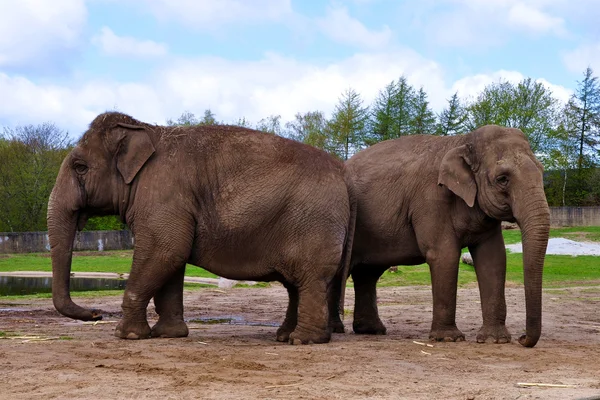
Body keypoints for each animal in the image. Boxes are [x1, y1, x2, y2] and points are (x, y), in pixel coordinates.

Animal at [49, 111, 356, 344]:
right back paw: (284, 336)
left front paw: (127, 335)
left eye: (80, 167)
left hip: (313, 224)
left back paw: (303, 340)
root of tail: (343, 173)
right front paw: (168, 335)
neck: (145, 128)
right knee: (296, 284)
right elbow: (171, 259)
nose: (96, 313)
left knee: (309, 279)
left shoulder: (164, 197)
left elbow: (165, 250)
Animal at [330, 124, 552, 346]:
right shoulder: (431, 200)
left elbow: (493, 258)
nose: (522, 338)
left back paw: (371, 331)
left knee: (368, 273)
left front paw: (495, 340)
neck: (462, 141)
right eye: (502, 179)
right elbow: (445, 255)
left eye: (542, 172)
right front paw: (448, 338)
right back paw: (337, 329)